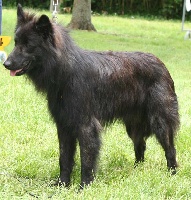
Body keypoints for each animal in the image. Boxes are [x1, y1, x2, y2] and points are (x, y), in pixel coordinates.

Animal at [3, 4, 179, 188]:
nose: (6, 64)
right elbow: (64, 158)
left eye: (28, 45)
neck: (65, 72)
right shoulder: (64, 126)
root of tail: (161, 64)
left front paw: (84, 186)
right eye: (16, 42)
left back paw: (171, 174)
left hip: (160, 122)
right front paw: (62, 184)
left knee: (170, 149)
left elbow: (86, 160)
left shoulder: (86, 126)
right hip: (133, 126)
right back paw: (136, 172)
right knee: (140, 147)